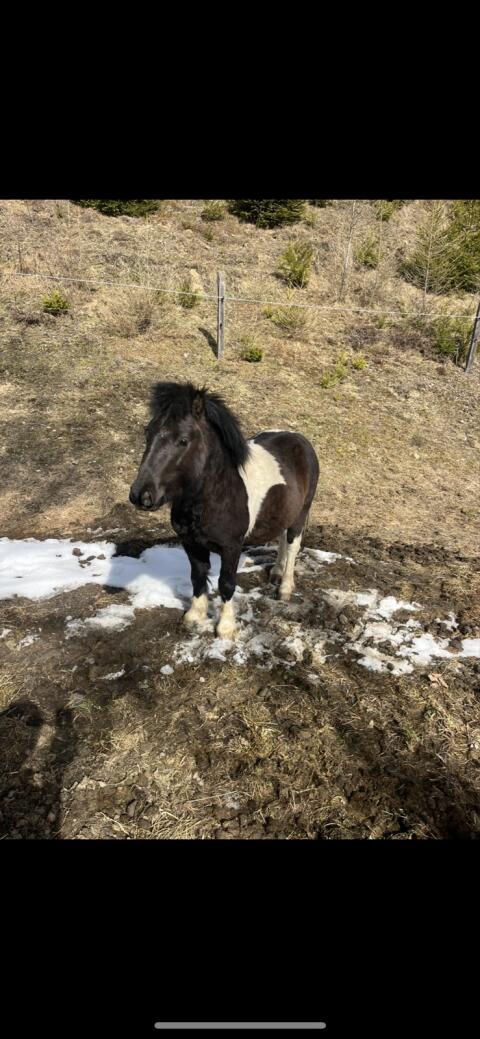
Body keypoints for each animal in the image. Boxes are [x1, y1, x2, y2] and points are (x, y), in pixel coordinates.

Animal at [129, 382, 319, 640]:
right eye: (147, 432)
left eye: (183, 440)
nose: (141, 496)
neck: (215, 493)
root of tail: (299, 439)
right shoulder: (191, 543)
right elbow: (198, 576)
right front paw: (195, 616)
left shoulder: (231, 547)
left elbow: (226, 583)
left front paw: (226, 627)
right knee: (281, 538)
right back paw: (277, 572)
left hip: (301, 514)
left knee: (292, 546)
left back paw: (285, 587)